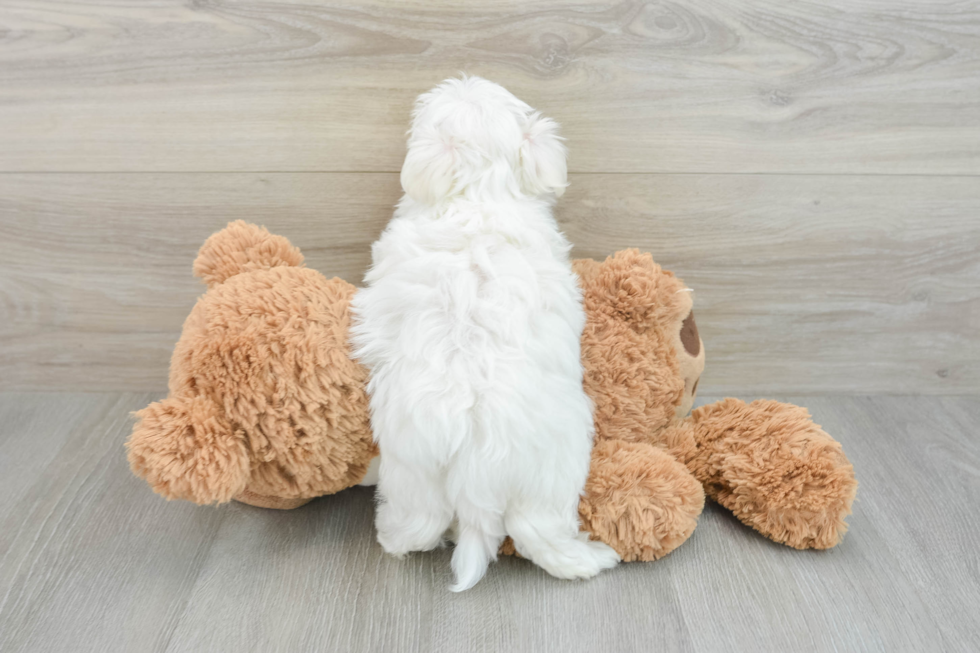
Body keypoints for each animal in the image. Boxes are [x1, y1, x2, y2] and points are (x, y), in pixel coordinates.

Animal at [348, 76, 616, 592]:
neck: (480, 193)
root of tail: (478, 472)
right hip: (505, 477)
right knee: (521, 531)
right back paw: (587, 561)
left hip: (421, 471)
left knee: (432, 525)